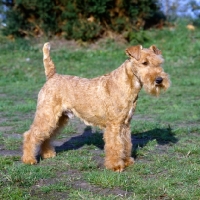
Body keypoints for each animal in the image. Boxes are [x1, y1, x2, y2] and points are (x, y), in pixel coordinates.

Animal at [21, 42, 170, 172]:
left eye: (159, 63)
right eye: (144, 63)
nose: (159, 80)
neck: (127, 84)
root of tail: (52, 76)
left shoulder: (125, 124)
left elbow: (126, 144)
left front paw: (127, 161)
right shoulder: (114, 125)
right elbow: (115, 145)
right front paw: (116, 166)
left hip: (59, 118)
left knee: (46, 136)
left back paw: (47, 154)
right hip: (47, 114)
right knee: (30, 135)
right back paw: (29, 159)